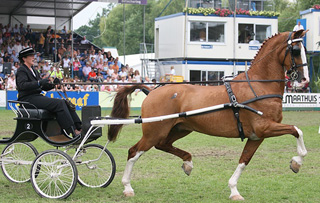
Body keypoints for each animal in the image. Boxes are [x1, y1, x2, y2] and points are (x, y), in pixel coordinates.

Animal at [109, 30, 308, 201]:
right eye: (296, 50)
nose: (304, 80)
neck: (259, 86)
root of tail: (151, 91)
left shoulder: (256, 136)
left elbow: (244, 160)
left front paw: (234, 190)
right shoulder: (264, 128)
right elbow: (296, 130)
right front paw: (297, 161)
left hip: (179, 129)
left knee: (163, 145)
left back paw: (188, 163)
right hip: (154, 131)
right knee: (134, 151)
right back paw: (127, 187)